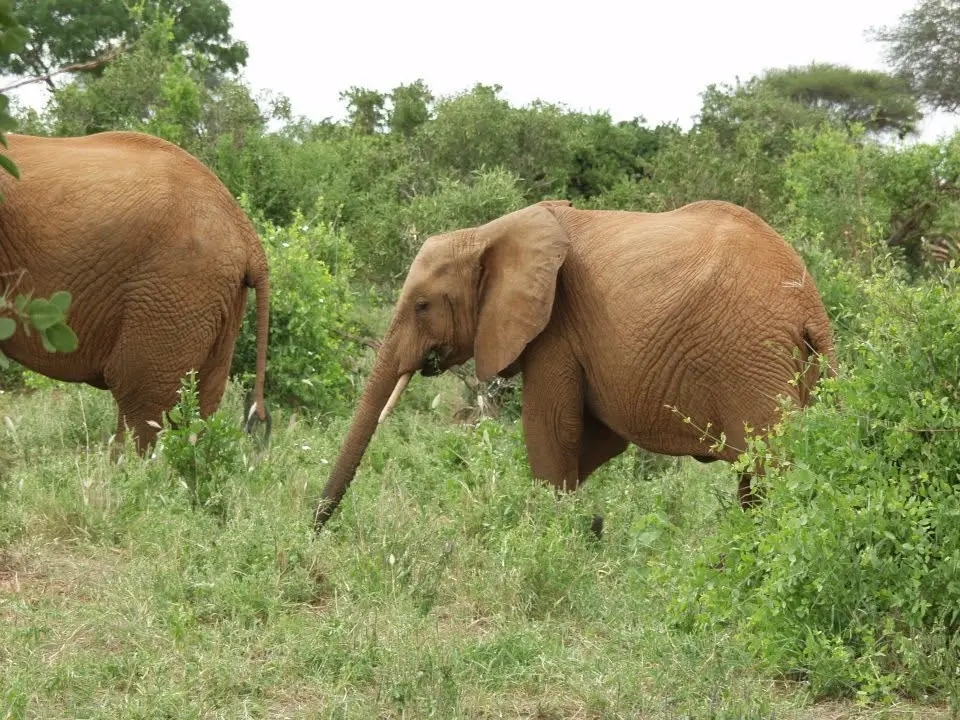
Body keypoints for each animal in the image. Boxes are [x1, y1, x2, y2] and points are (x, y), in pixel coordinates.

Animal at [313, 199, 836, 531]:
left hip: (754, 358)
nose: (317, 528)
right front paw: (584, 526)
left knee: (772, 468)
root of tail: (811, 309)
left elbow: (550, 429)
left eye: (422, 306)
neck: (487, 233)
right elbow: (595, 441)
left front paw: (553, 538)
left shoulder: (556, 328)